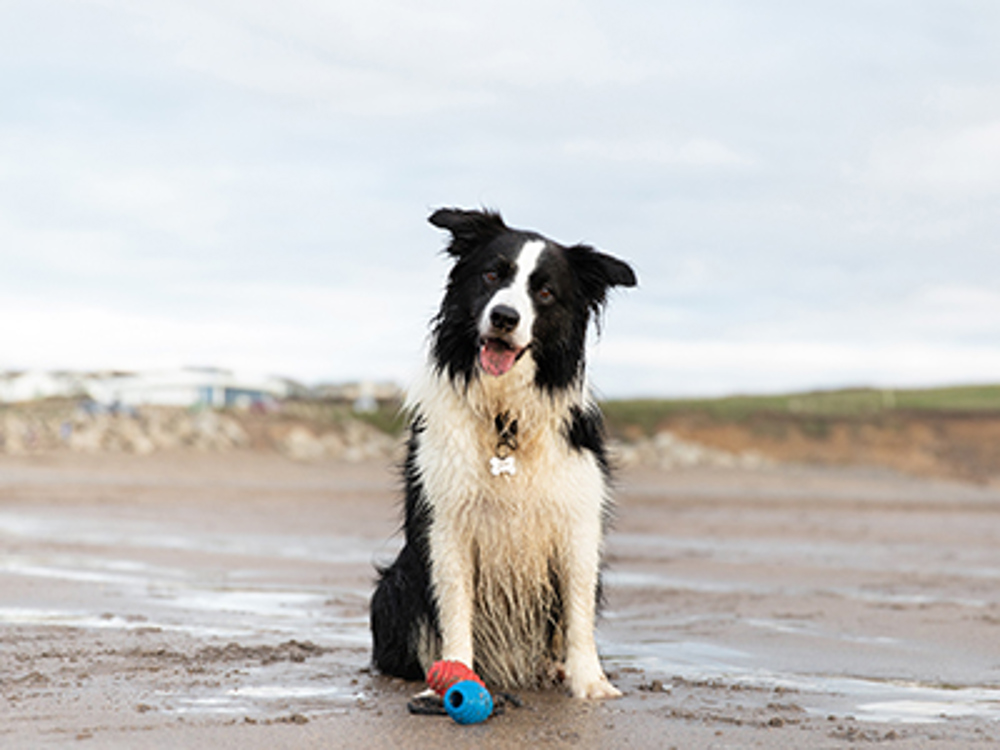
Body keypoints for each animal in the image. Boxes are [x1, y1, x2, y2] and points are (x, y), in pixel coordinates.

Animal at [372, 209, 636, 704]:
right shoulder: (447, 524)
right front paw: (454, 676)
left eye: (545, 292)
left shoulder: (578, 522)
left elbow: (578, 611)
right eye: (493, 275)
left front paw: (589, 680)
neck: (504, 417)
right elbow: (455, 608)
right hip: (394, 583)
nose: (504, 317)